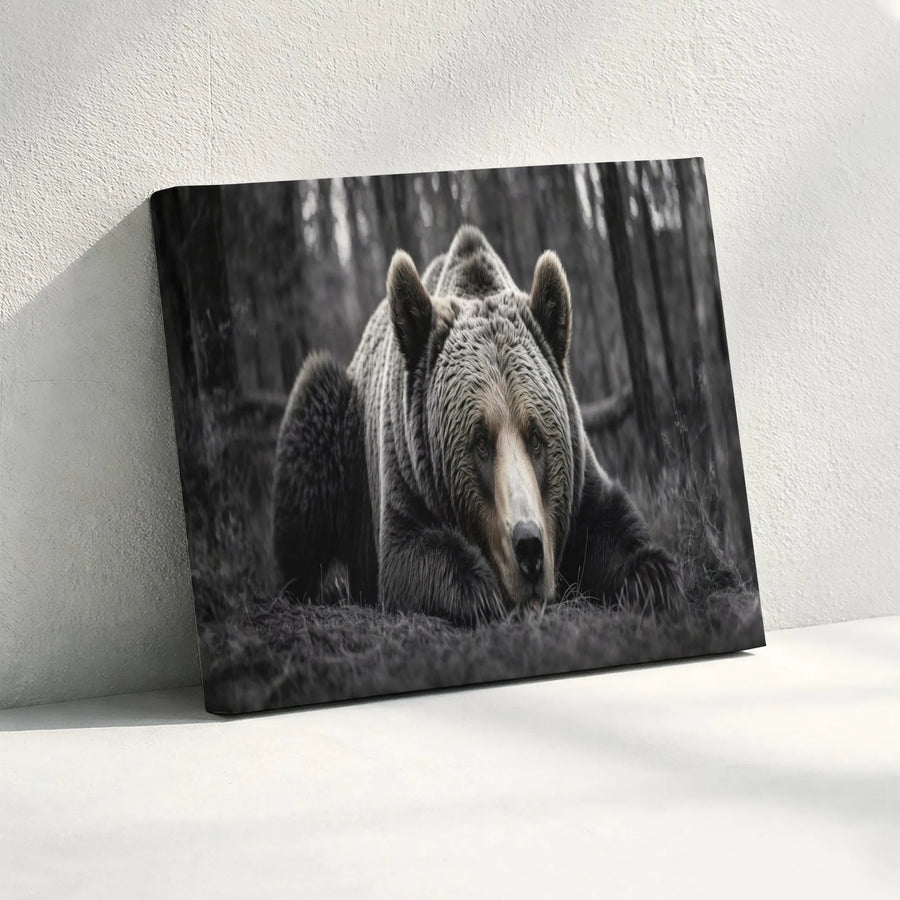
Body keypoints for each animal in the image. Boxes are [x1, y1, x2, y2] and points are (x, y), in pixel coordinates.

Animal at [272, 225, 679, 625]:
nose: (529, 548)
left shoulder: (579, 479)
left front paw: (651, 577)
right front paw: (481, 590)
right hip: (343, 438)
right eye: (480, 441)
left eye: (536, 437)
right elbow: (410, 558)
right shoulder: (404, 474)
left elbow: (613, 528)